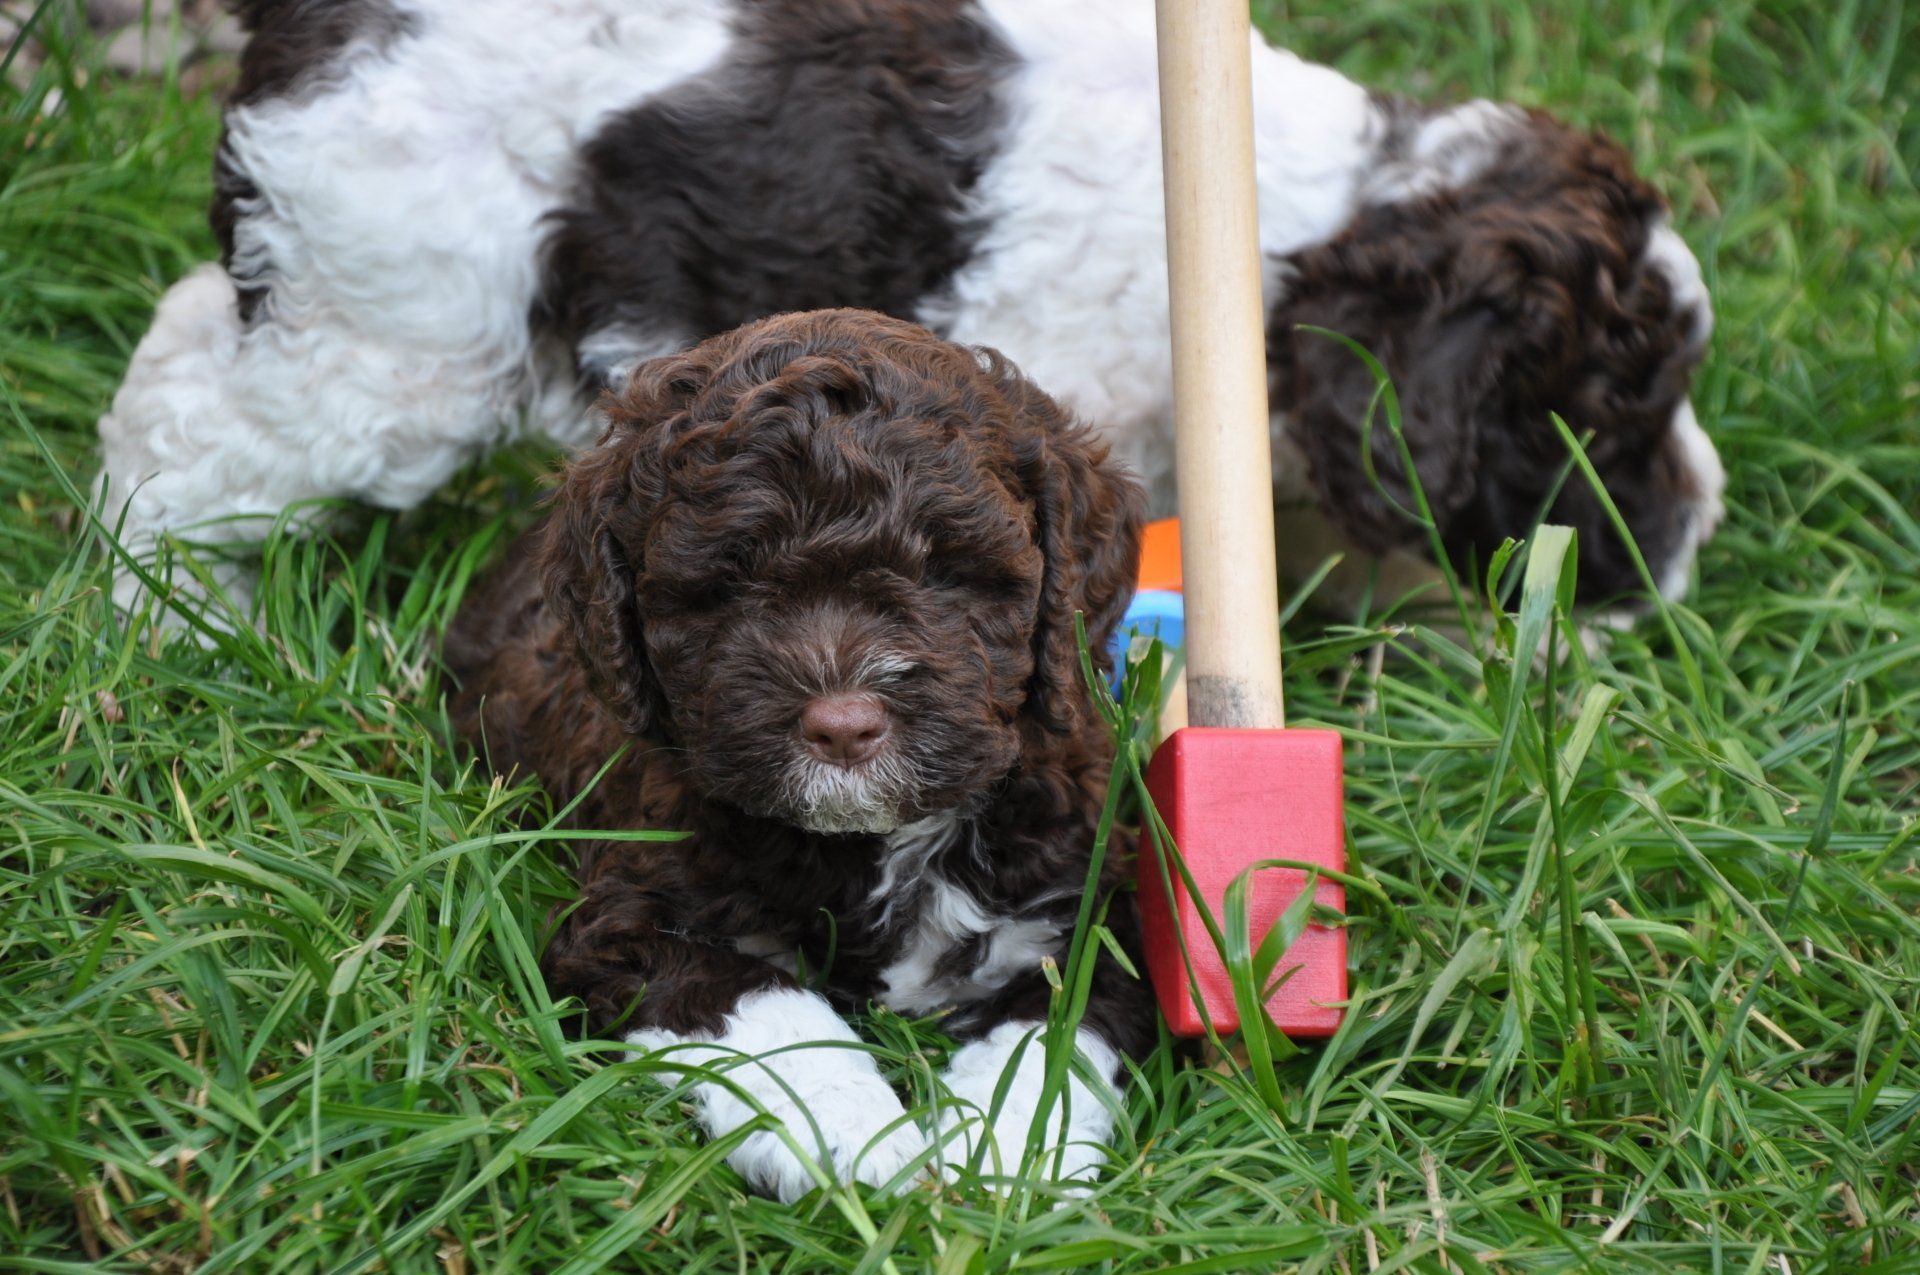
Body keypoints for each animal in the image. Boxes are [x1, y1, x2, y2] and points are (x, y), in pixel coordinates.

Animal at [98, 0, 1722, 622]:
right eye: (1609, 419)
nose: (1697, 538)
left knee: (189, 335)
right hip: (405, 340)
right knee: (185, 436)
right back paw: (173, 621)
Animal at [444, 309, 1157, 1200]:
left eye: (946, 569)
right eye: (731, 581)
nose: (844, 724)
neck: (870, 843)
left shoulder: (1096, 906)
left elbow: (1051, 1042)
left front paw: (998, 1163)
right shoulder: (629, 918)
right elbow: (769, 1013)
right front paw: (858, 1136)